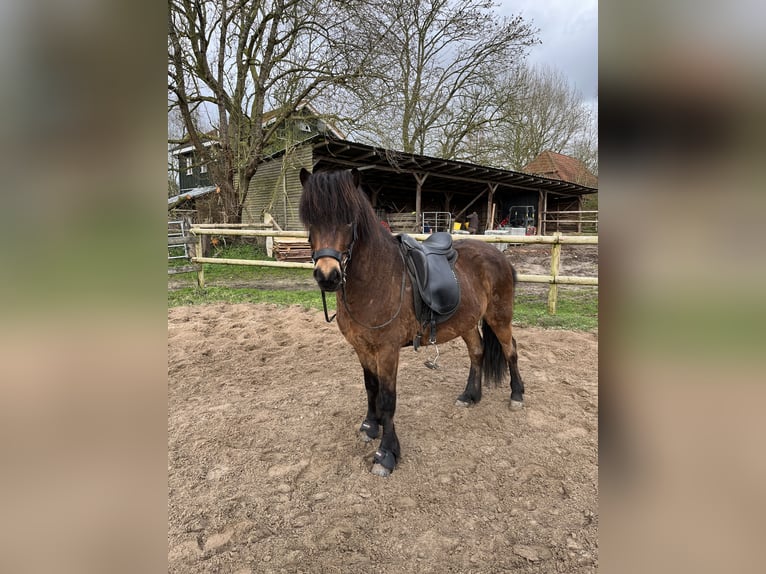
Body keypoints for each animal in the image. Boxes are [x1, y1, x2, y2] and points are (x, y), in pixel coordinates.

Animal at [298, 168, 524, 477]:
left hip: (499, 317)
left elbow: (388, 399)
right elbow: (370, 387)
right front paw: (370, 426)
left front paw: (386, 454)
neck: (376, 278)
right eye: (310, 220)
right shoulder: (362, 348)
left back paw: (517, 395)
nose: (327, 276)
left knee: (510, 350)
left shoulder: (387, 351)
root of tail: (498, 255)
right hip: (466, 322)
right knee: (477, 352)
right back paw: (470, 396)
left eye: (349, 219)